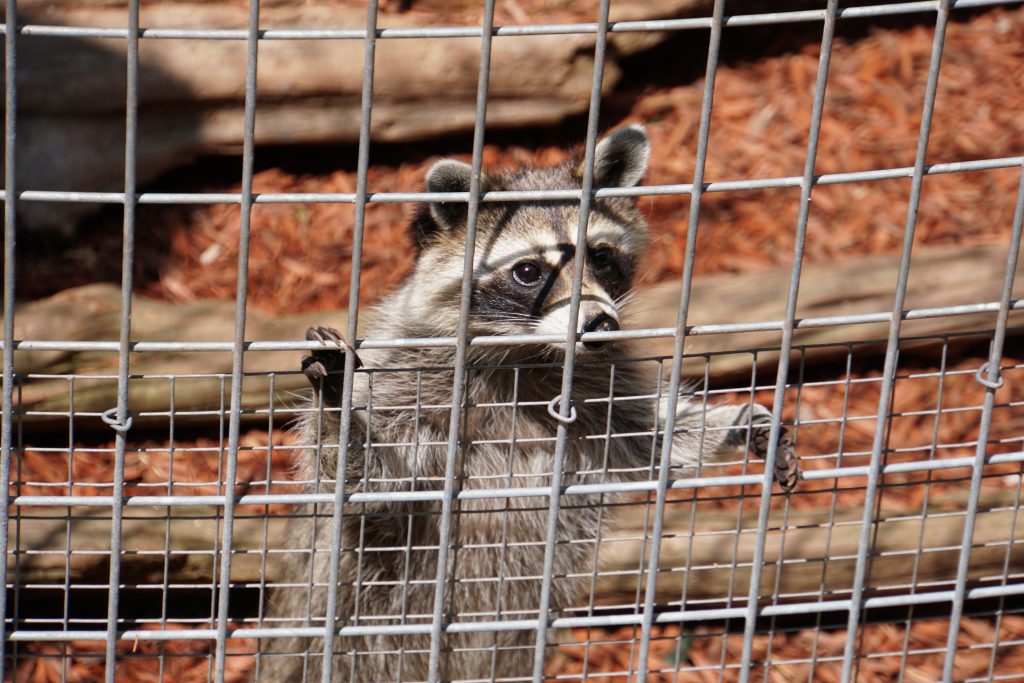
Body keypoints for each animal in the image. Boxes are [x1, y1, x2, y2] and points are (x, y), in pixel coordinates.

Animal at [257, 126, 799, 683]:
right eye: (528, 271)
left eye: (600, 256)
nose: (601, 325)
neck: (529, 353)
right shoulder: (408, 382)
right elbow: (372, 487)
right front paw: (338, 409)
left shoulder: (600, 387)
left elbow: (654, 436)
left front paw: (735, 421)